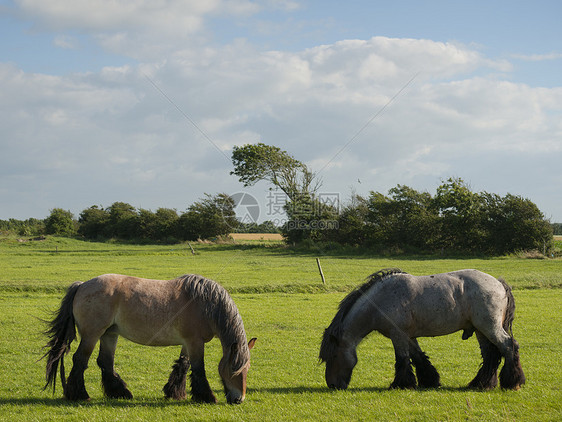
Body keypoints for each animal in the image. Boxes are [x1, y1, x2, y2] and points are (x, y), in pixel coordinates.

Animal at [43, 276, 256, 404]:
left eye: (247, 369)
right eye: (235, 369)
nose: (239, 399)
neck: (205, 304)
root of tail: (82, 286)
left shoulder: (187, 343)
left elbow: (183, 365)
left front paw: (174, 393)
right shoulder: (195, 342)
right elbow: (198, 368)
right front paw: (206, 396)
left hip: (109, 335)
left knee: (105, 362)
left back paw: (120, 393)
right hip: (92, 335)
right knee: (80, 360)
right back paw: (79, 395)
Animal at [320, 268, 524, 390]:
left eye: (334, 356)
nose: (332, 385)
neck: (380, 301)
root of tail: (499, 283)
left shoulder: (398, 335)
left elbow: (402, 360)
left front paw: (401, 384)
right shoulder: (408, 336)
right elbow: (419, 358)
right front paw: (430, 381)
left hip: (490, 327)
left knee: (508, 346)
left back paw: (512, 382)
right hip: (481, 330)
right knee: (490, 355)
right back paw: (481, 384)